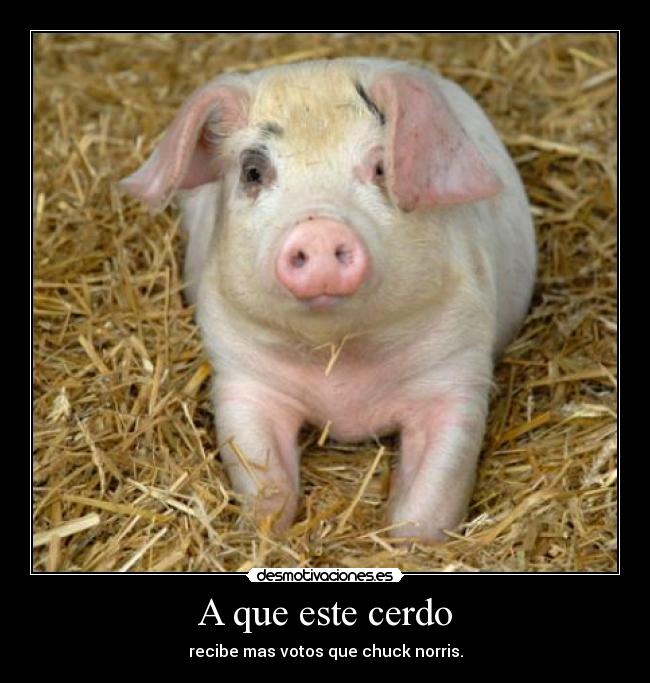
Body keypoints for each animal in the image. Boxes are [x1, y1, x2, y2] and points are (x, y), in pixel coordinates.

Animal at [120, 57, 536, 541]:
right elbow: (263, 478)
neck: (341, 368)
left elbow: (430, 499)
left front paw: (404, 543)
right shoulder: (242, 376)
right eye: (253, 171)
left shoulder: (456, 371)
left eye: (381, 168)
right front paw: (261, 533)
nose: (318, 229)